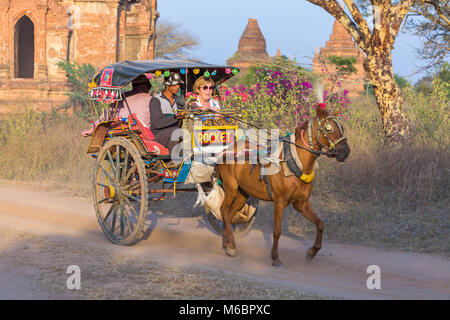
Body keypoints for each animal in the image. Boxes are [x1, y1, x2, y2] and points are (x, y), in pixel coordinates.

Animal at [216, 104, 350, 264]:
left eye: (341, 127)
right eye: (328, 127)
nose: (345, 152)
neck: (294, 162)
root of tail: (226, 150)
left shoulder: (301, 203)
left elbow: (320, 224)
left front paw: (312, 251)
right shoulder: (279, 201)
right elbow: (277, 231)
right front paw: (275, 257)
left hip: (243, 193)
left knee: (229, 215)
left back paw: (227, 242)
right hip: (231, 188)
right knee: (224, 210)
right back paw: (229, 242)